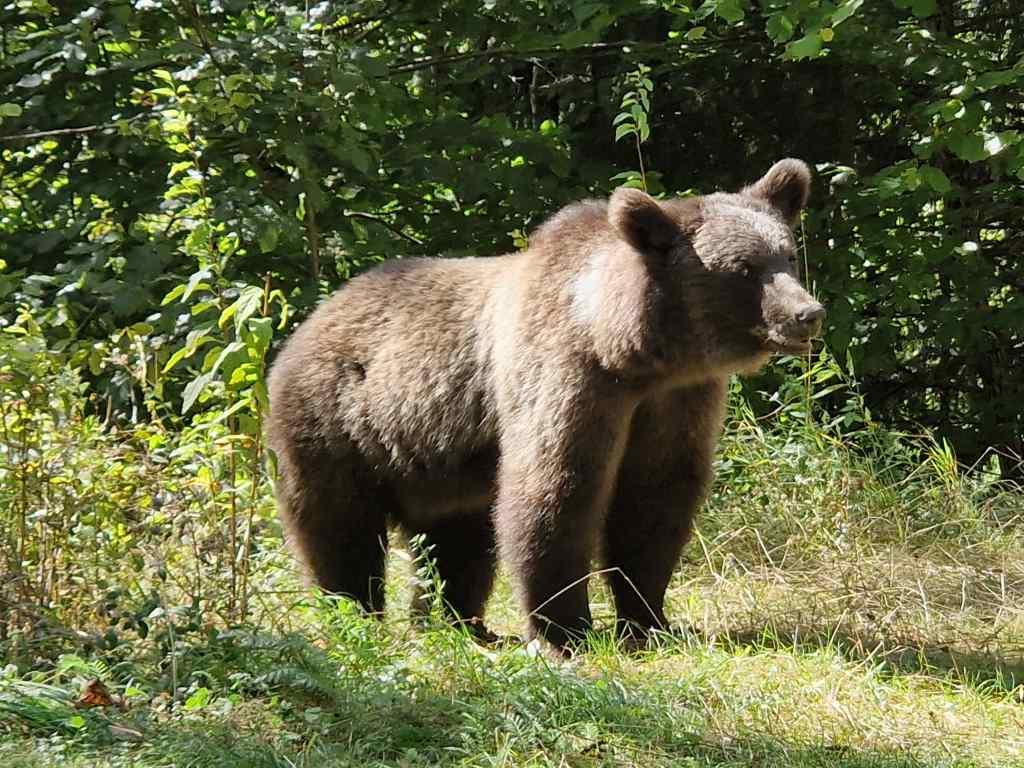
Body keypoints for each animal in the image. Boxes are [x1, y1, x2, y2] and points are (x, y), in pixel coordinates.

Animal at [266, 159, 825, 653]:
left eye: (787, 255)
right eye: (745, 268)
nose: (808, 313)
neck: (626, 349)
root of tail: (310, 320)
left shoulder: (675, 403)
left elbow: (654, 502)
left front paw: (650, 620)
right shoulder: (569, 377)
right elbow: (555, 489)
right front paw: (563, 630)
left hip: (440, 464)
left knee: (458, 540)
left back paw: (460, 624)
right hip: (339, 425)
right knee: (340, 529)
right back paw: (353, 611)